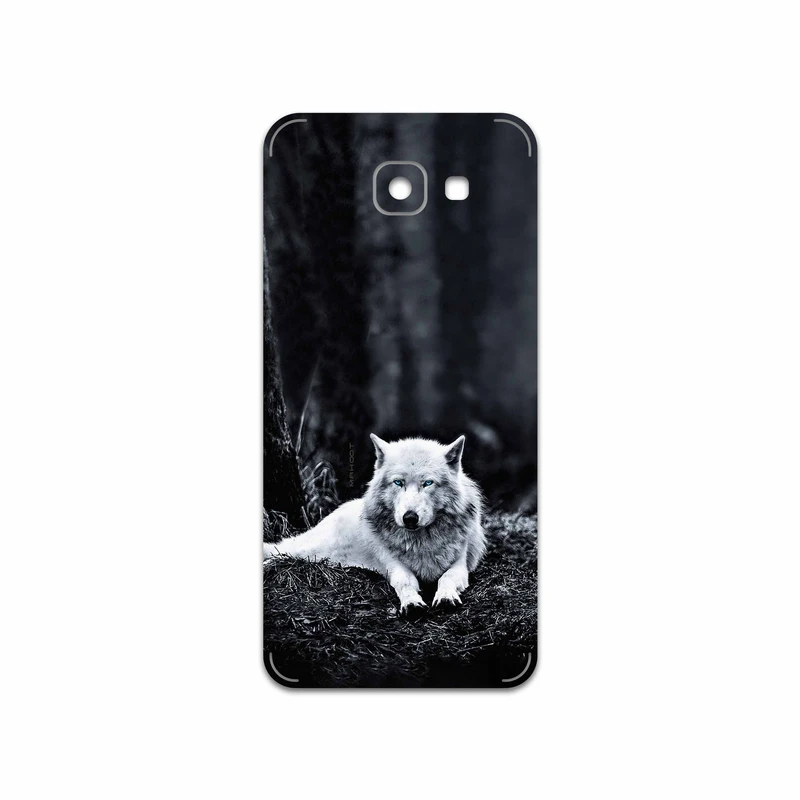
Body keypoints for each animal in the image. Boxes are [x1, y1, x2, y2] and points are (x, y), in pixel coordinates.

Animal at [263, 434, 486, 617]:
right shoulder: (393, 564)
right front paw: (412, 603)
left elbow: (446, 578)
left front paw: (446, 597)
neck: (421, 542)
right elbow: (404, 581)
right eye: (398, 482)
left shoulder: (460, 564)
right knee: (281, 549)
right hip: (310, 549)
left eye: (428, 483)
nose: (410, 517)